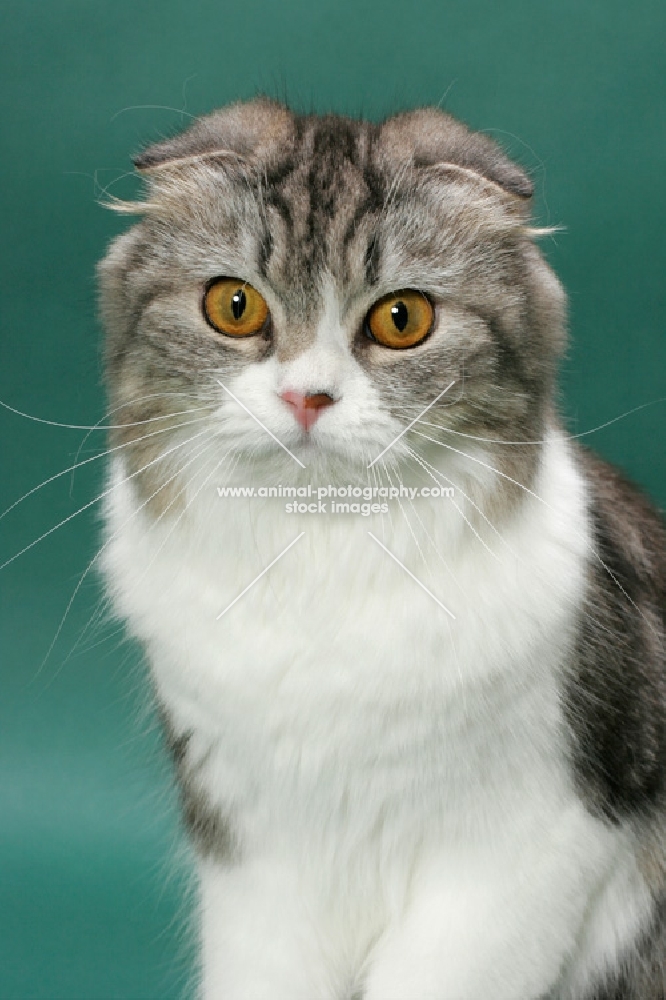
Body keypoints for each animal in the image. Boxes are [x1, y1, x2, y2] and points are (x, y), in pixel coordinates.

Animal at [98, 95, 664, 1000]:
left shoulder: (523, 851)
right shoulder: (254, 859)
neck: (322, 564)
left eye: (402, 319)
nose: (307, 396)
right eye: (235, 307)